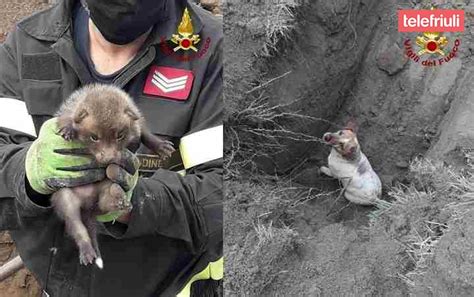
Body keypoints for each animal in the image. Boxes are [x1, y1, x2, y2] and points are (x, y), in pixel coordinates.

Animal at [51, 84, 176, 268]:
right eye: (94, 137)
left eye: (120, 135)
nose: (109, 158)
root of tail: (88, 206)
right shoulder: (69, 108)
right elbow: (66, 118)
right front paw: (68, 129)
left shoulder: (137, 122)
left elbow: (145, 133)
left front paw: (160, 146)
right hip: (65, 199)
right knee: (78, 229)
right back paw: (87, 252)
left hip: (106, 186)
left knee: (106, 203)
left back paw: (119, 200)